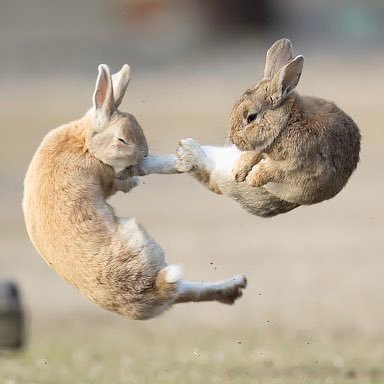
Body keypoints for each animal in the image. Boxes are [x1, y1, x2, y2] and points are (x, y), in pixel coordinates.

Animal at [23, 63, 246, 320]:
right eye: (122, 140)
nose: (144, 154)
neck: (86, 143)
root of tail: (153, 290)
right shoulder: (109, 177)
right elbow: (124, 179)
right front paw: (151, 173)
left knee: (187, 292)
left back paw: (235, 286)